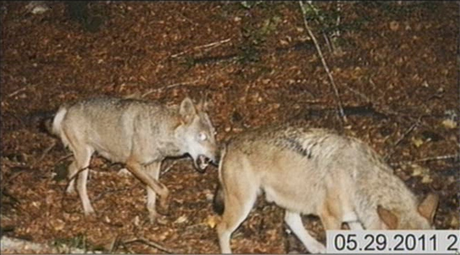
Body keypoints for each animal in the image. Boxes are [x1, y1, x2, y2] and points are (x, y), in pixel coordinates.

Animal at [53, 95, 218, 221]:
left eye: (214, 133)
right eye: (202, 136)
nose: (218, 158)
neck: (159, 131)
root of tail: (68, 108)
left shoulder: (155, 164)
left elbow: (153, 191)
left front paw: (153, 215)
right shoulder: (132, 164)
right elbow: (163, 189)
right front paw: (164, 206)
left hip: (84, 158)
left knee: (70, 168)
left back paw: (68, 190)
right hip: (85, 158)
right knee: (81, 185)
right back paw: (88, 210)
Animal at [214, 124, 440, 254]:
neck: (357, 178)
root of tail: (229, 144)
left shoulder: (354, 218)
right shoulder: (331, 218)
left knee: (290, 220)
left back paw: (314, 247)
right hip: (243, 205)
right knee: (221, 229)